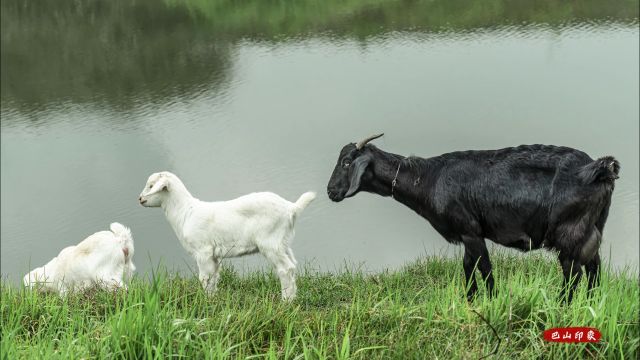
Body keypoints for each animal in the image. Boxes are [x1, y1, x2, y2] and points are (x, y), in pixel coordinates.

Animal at [139, 172, 316, 300]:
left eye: (152, 186)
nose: (140, 199)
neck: (185, 212)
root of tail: (292, 208)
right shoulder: (213, 255)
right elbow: (214, 277)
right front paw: (213, 299)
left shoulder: (203, 251)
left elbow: (205, 277)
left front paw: (206, 301)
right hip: (283, 243)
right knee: (292, 266)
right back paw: (293, 298)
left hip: (270, 242)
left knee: (285, 269)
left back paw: (285, 301)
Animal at [328, 134, 616, 302]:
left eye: (346, 162)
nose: (331, 191)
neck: (429, 178)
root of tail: (600, 169)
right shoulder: (467, 232)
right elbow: (468, 265)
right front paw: (471, 299)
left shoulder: (470, 230)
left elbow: (484, 267)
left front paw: (492, 300)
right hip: (593, 228)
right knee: (593, 266)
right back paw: (592, 303)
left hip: (569, 231)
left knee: (573, 271)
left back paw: (562, 304)